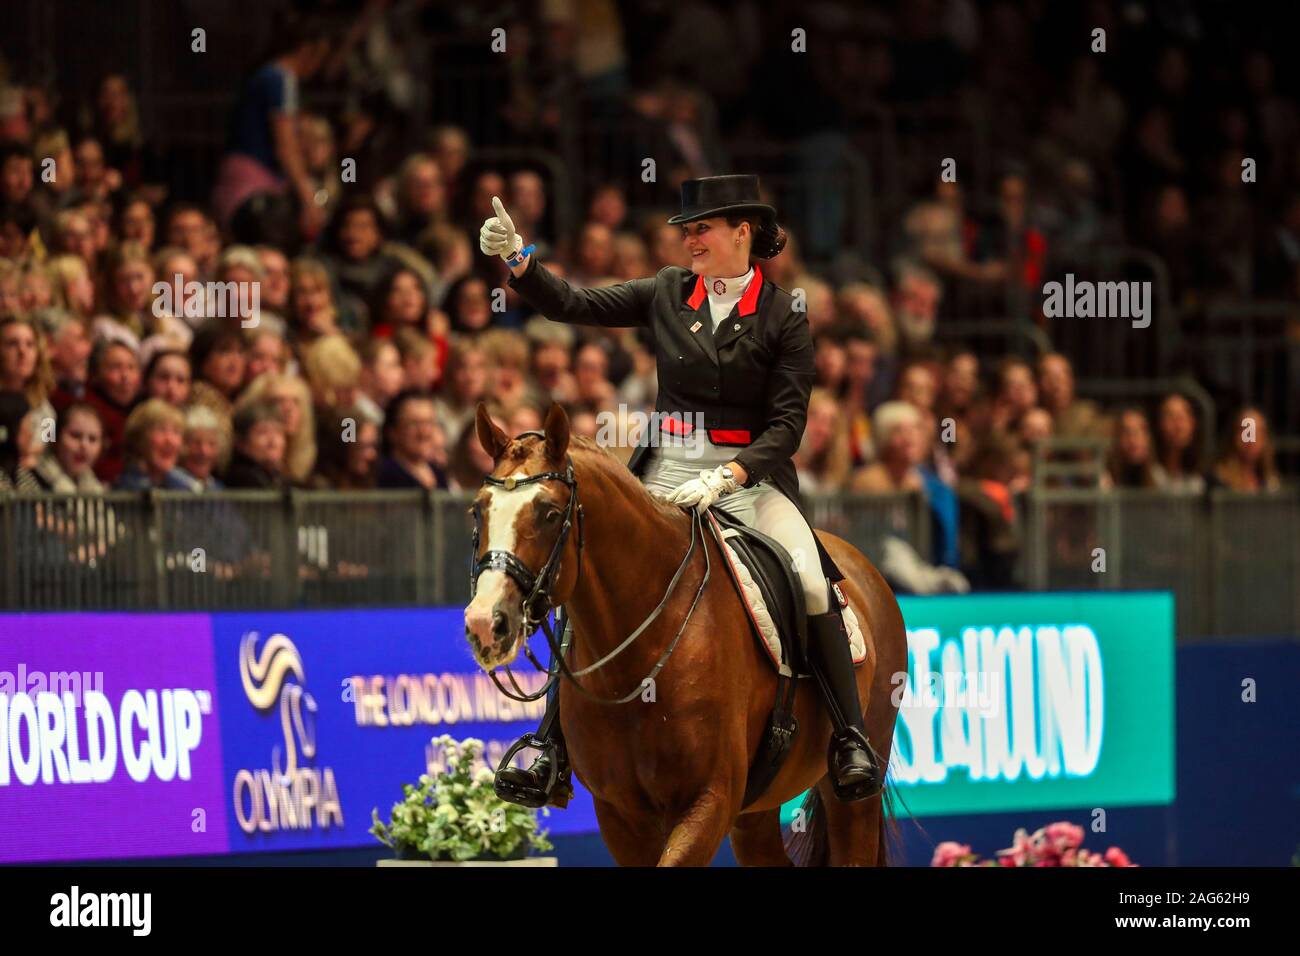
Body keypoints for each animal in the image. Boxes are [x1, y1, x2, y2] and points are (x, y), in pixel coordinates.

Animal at [465, 403, 904, 868]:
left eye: (549, 513)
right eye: (478, 511)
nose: (485, 623)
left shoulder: (708, 801)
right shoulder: (619, 815)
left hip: (854, 791)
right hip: (754, 812)